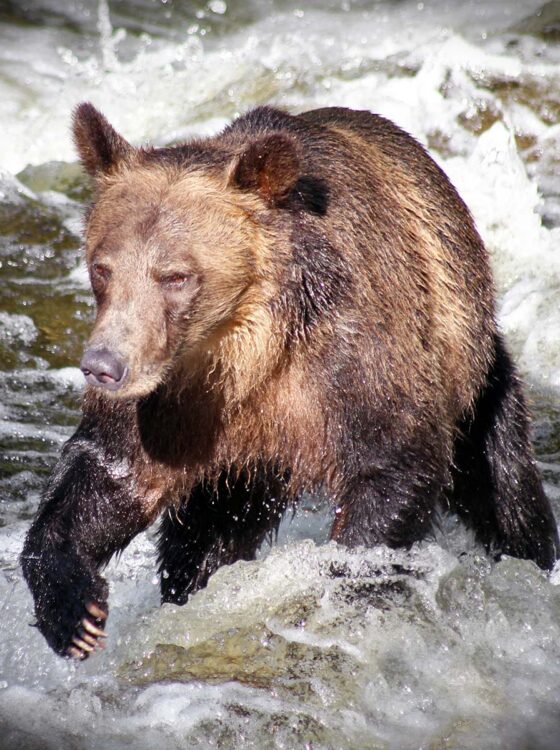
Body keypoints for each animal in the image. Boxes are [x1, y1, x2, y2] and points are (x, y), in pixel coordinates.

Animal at [19, 101, 556, 656]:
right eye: (102, 267)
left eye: (176, 275)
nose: (102, 365)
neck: (246, 351)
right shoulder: (172, 397)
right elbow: (112, 476)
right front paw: (75, 612)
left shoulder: (352, 359)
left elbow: (392, 465)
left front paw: (339, 581)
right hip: (240, 473)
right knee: (203, 541)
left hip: (477, 374)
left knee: (502, 480)